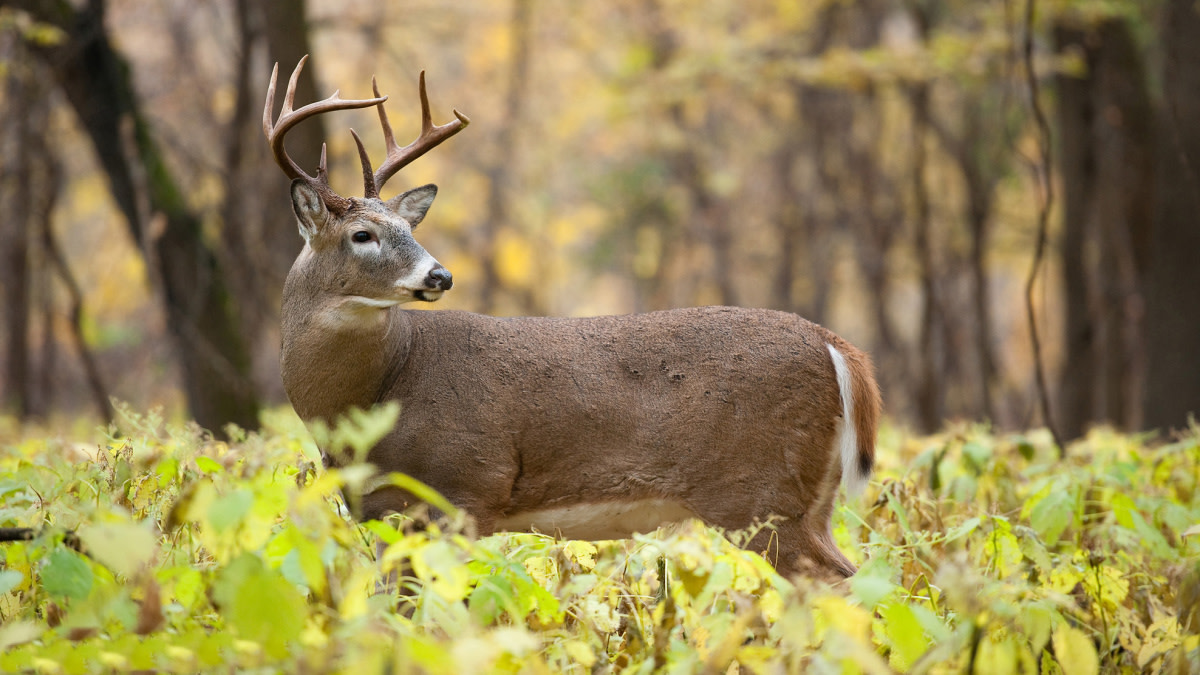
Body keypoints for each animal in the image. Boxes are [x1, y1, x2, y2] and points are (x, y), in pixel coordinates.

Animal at [265, 56, 883, 578]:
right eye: (361, 234)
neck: (381, 387)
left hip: (760, 494)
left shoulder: (464, 490)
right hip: (806, 501)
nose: (440, 276)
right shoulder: (379, 511)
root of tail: (838, 346)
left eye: (406, 229)